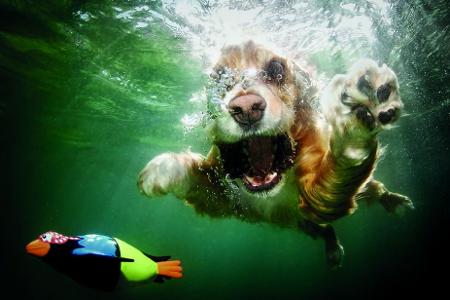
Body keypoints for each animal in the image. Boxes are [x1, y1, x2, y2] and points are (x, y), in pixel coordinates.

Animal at [139, 40, 414, 268]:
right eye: (219, 77)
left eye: (275, 69)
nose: (246, 108)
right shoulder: (224, 197)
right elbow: (198, 177)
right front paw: (162, 169)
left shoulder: (316, 195)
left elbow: (334, 177)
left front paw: (356, 120)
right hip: (302, 222)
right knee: (325, 229)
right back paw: (333, 249)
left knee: (375, 189)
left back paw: (396, 201)